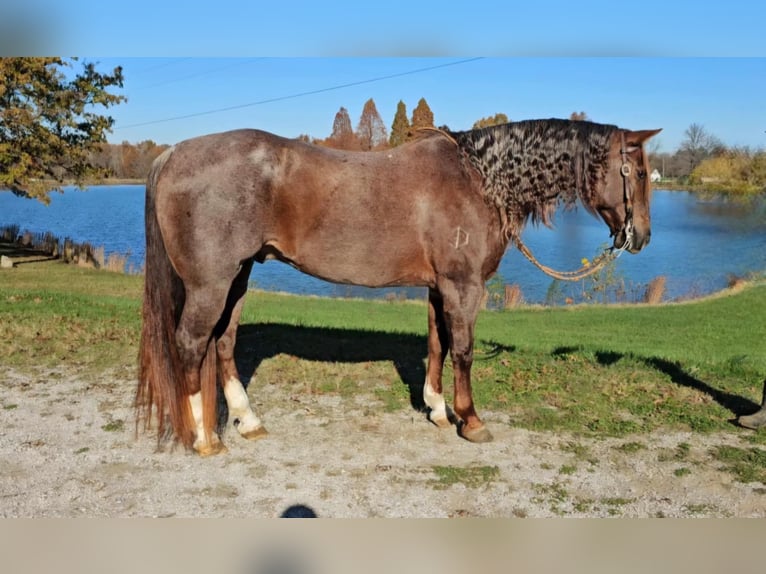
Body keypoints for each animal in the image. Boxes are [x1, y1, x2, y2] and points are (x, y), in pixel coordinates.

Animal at [135, 118, 661, 456]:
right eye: (636, 172)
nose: (641, 237)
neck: (478, 181)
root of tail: (172, 154)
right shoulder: (463, 286)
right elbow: (463, 350)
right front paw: (471, 421)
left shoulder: (439, 287)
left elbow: (436, 345)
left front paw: (437, 410)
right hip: (211, 283)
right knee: (191, 344)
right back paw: (204, 439)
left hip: (238, 276)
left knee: (223, 343)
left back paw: (247, 423)